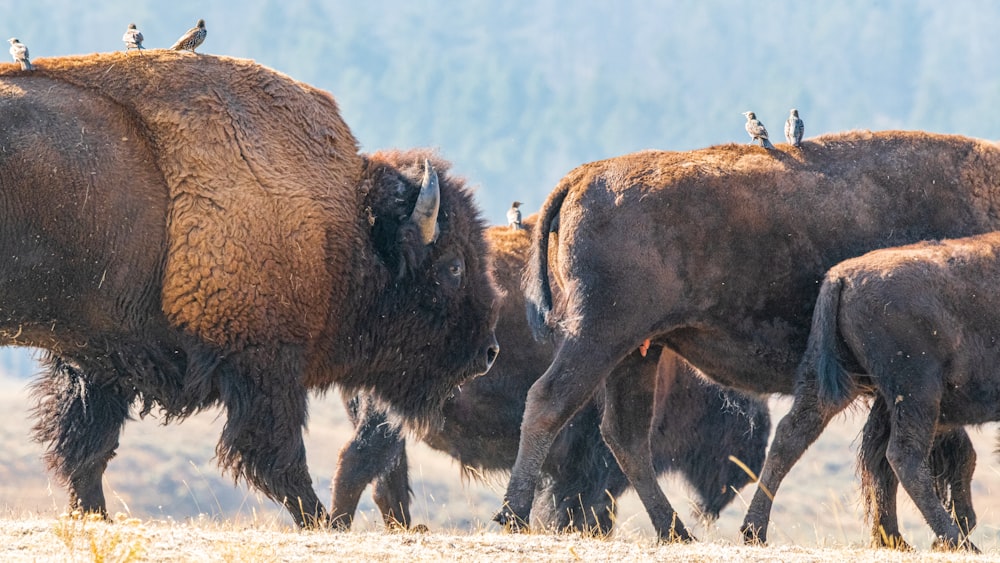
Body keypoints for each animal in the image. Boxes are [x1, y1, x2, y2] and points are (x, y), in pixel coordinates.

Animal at [0, 51, 500, 528]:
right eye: (454, 266)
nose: (489, 351)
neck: (343, 224)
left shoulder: (98, 357)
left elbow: (86, 448)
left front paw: (94, 515)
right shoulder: (265, 363)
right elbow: (277, 459)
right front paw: (320, 522)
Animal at [326, 219, 764, 532]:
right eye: (735, 420)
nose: (751, 463)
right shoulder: (589, 464)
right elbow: (579, 508)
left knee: (385, 475)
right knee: (357, 461)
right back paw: (338, 525)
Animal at [772, 232, 1000, 552]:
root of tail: (840, 276)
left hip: (838, 383)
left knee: (791, 435)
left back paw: (754, 531)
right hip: (918, 392)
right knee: (905, 457)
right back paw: (957, 542)